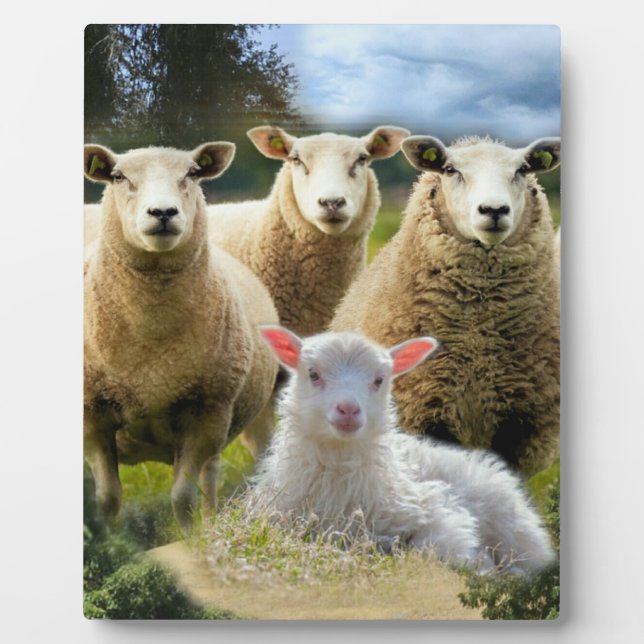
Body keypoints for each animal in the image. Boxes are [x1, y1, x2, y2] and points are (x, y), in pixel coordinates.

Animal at [83, 141, 279, 531]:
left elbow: (182, 498)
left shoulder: (206, 414)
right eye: (118, 177)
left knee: (211, 478)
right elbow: (107, 499)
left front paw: (191, 537)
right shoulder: (92, 417)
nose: (162, 212)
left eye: (192, 173)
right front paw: (109, 539)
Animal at [251, 327, 556, 575]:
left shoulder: (436, 510)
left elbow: (432, 546)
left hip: (513, 527)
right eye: (313, 374)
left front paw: (482, 566)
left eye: (379, 380)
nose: (348, 409)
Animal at [331, 135, 561, 477]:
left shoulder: (520, 422)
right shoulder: (424, 407)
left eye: (522, 170)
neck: (478, 336)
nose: (494, 209)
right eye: (451, 170)